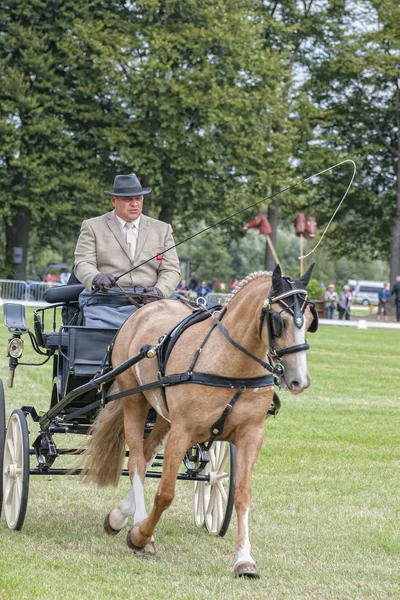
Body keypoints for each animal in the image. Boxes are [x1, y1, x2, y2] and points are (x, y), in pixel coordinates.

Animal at [83, 264, 318, 580]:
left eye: (310, 321)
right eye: (279, 320)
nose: (298, 381)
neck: (231, 366)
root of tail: (145, 308)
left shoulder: (251, 436)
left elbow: (243, 495)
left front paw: (245, 560)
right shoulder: (182, 433)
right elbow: (165, 493)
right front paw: (140, 537)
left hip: (162, 417)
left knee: (146, 454)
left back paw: (120, 517)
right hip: (134, 401)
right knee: (137, 463)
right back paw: (136, 525)